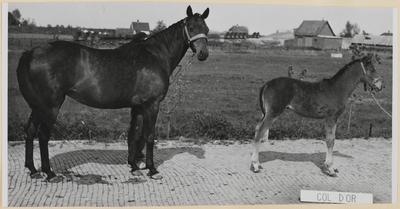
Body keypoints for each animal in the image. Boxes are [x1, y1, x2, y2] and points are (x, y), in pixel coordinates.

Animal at [16, 5, 209, 180]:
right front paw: (152, 169)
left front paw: (134, 166)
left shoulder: (138, 106)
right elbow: (149, 136)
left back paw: (33, 170)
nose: (203, 54)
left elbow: (135, 134)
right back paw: (49, 173)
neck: (155, 56)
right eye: (192, 28)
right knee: (43, 135)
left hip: (39, 105)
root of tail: (32, 52)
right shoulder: (151, 105)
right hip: (51, 104)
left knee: (30, 130)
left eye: (206, 29)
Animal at [250, 53, 384, 176]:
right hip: (273, 113)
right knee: (260, 131)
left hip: (266, 113)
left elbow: (331, 139)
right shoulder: (331, 117)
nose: (380, 86)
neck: (337, 88)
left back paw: (258, 164)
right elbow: (330, 140)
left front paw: (332, 167)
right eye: (372, 70)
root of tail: (267, 84)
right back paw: (255, 165)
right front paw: (330, 168)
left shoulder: (333, 119)